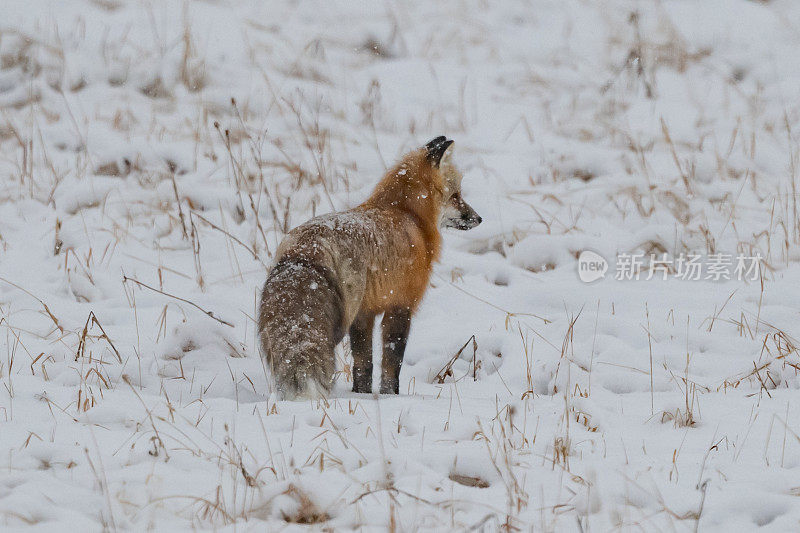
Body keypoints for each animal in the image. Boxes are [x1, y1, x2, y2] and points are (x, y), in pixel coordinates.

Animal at [258, 137, 482, 400]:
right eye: (456, 195)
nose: (479, 218)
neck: (407, 214)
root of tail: (307, 248)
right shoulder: (401, 304)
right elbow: (391, 362)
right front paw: (390, 396)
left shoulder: (364, 313)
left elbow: (363, 364)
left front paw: (361, 395)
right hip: (339, 323)